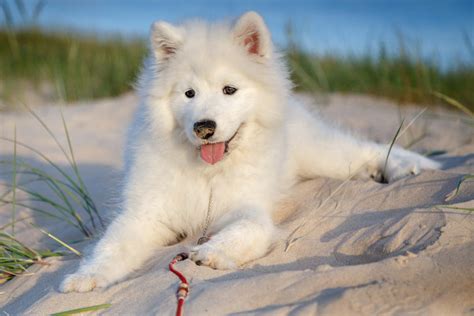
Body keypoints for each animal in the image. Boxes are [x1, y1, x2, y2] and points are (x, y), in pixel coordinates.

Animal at [60, 12, 440, 294]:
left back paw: (408, 166)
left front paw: (211, 253)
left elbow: (246, 229)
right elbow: (111, 246)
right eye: (188, 93)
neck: (209, 175)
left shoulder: (249, 208)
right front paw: (85, 277)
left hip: (323, 154)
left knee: (365, 149)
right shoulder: (145, 214)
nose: (204, 127)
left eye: (229, 90)